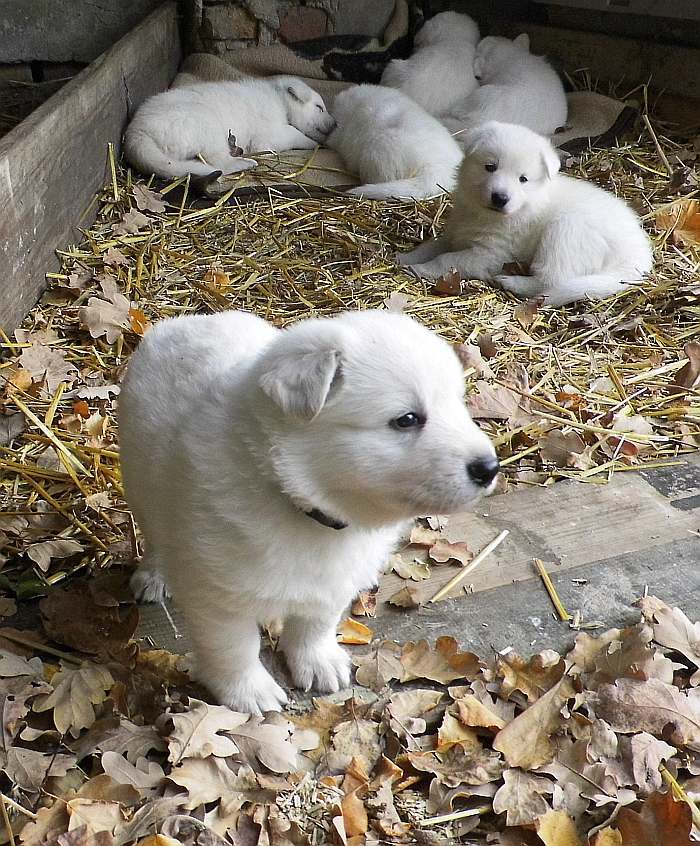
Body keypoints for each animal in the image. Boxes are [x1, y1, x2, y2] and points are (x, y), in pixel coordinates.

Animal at [121, 308, 504, 712]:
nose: (490, 468)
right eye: (407, 419)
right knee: (155, 534)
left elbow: (315, 625)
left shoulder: (333, 581)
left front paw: (318, 662)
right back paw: (154, 576)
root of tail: (185, 321)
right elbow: (234, 649)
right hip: (139, 481)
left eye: (458, 403)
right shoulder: (217, 594)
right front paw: (250, 692)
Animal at [123, 76, 336, 182]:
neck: (280, 101)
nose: (335, 124)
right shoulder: (268, 136)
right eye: (319, 107)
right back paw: (245, 163)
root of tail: (135, 133)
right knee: (220, 164)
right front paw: (316, 143)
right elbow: (296, 134)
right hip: (207, 124)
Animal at [402, 122, 652, 308]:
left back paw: (512, 282)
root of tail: (638, 253)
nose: (500, 198)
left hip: (565, 233)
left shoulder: (490, 254)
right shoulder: (455, 232)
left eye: (523, 179)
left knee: (551, 281)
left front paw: (420, 269)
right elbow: (433, 245)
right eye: (490, 167)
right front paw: (406, 257)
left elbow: (447, 259)